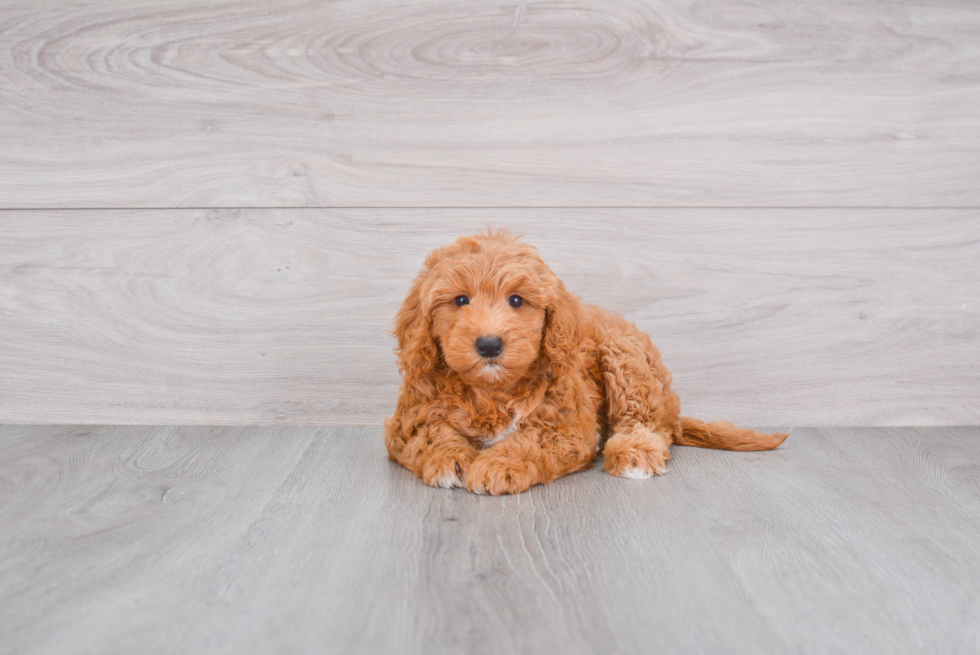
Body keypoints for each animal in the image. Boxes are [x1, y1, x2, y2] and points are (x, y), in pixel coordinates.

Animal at [384, 233, 788, 494]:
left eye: (516, 300)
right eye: (459, 300)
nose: (488, 344)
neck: (493, 389)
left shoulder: (567, 426)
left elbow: (527, 441)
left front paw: (498, 465)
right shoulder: (409, 420)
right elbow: (432, 434)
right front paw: (449, 459)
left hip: (623, 356)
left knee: (648, 424)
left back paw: (634, 453)